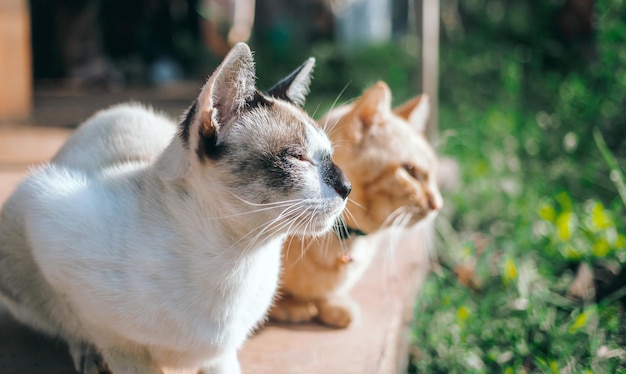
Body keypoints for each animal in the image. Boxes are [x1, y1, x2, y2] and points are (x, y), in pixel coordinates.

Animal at [0, 44, 348, 374]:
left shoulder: (222, 354)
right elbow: (91, 328)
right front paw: (89, 347)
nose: (347, 187)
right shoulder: (46, 210)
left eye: (330, 156)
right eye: (297, 157)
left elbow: (223, 361)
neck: (233, 259)